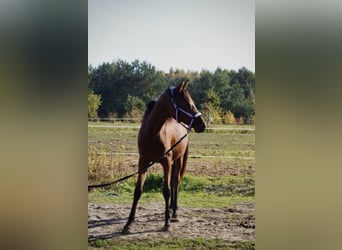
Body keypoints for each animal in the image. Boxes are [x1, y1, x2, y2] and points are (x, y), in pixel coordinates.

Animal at [121, 81, 204, 233]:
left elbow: (166, 191)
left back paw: (174, 212)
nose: (202, 124)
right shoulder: (143, 162)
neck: (152, 134)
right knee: (173, 183)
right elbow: (138, 191)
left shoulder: (166, 162)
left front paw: (167, 223)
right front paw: (128, 223)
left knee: (175, 183)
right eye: (187, 103)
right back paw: (170, 209)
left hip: (178, 160)